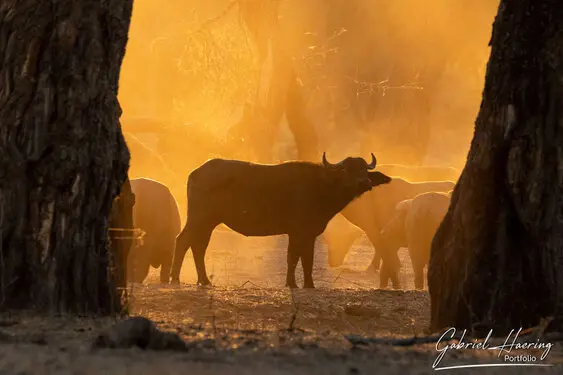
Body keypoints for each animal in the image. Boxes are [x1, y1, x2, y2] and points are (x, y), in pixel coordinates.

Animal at [172, 154, 392, 290]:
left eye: (364, 169)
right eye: (346, 170)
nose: (364, 182)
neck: (321, 187)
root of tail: (195, 173)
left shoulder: (307, 234)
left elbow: (304, 259)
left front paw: (305, 284)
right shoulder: (297, 232)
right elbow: (296, 258)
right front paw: (296, 284)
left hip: (208, 222)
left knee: (198, 246)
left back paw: (204, 281)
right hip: (199, 218)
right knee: (183, 241)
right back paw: (175, 278)